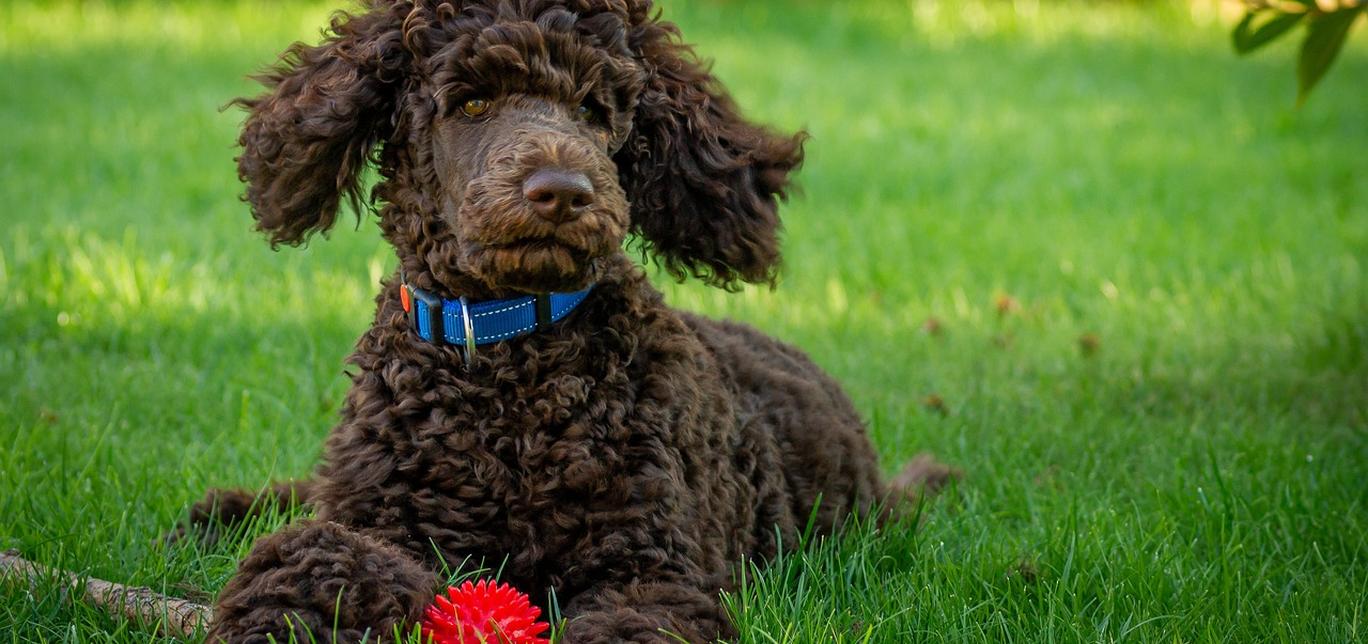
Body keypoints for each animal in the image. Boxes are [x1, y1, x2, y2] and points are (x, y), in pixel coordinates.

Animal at [179, 2, 963, 642]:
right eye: (472, 101)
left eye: (593, 107)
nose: (561, 191)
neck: (506, 358)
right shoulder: (374, 520)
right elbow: (312, 556)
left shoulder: (650, 569)